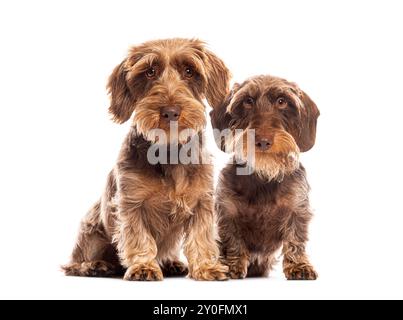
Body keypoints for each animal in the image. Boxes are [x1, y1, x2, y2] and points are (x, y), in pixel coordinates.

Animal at [62, 38, 232, 282]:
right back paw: (95, 265)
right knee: (74, 264)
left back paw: (170, 263)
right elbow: (139, 237)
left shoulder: (202, 201)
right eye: (150, 72)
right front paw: (144, 266)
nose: (170, 112)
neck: (169, 152)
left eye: (189, 71)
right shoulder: (131, 203)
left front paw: (206, 267)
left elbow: (202, 237)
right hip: (91, 233)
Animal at [210, 75, 320, 280]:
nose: (263, 141)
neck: (264, 176)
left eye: (282, 101)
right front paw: (232, 265)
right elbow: (232, 240)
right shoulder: (228, 211)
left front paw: (299, 265)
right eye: (247, 101)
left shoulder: (297, 208)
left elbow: (295, 239)